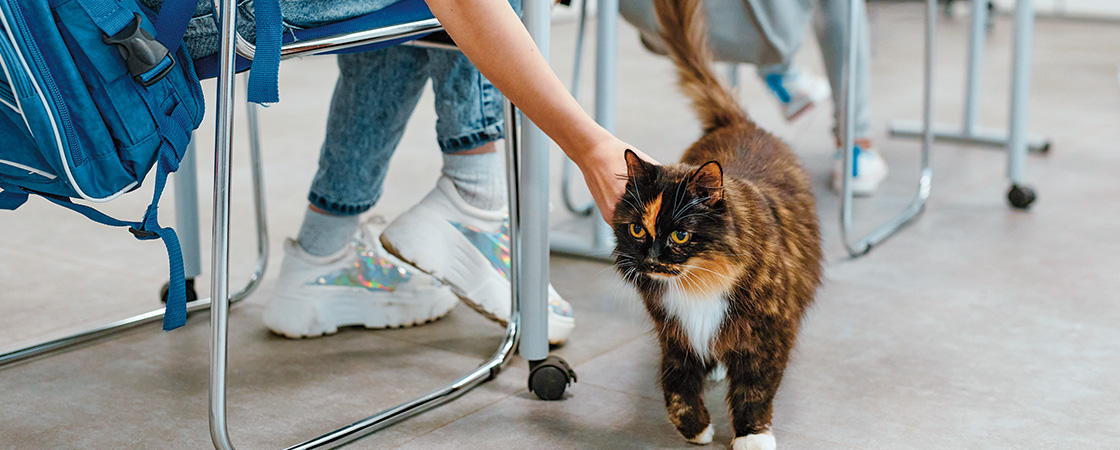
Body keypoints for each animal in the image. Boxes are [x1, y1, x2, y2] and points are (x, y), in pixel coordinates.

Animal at [609, 0, 828, 445]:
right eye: (638, 229)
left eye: (680, 235)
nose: (650, 259)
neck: (699, 284)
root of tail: (738, 122)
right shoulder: (674, 334)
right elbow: (674, 383)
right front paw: (694, 426)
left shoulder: (769, 334)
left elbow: (754, 388)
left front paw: (752, 436)